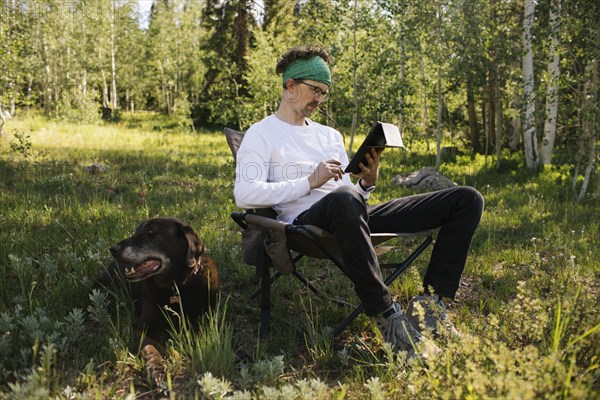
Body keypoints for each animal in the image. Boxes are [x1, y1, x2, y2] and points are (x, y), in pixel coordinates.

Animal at [97, 217, 219, 386]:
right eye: (137, 230)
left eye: (151, 231)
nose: (113, 249)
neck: (176, 287)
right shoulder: (142, 329)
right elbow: (151, 350)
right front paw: (156, 370)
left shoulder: (205, 324)